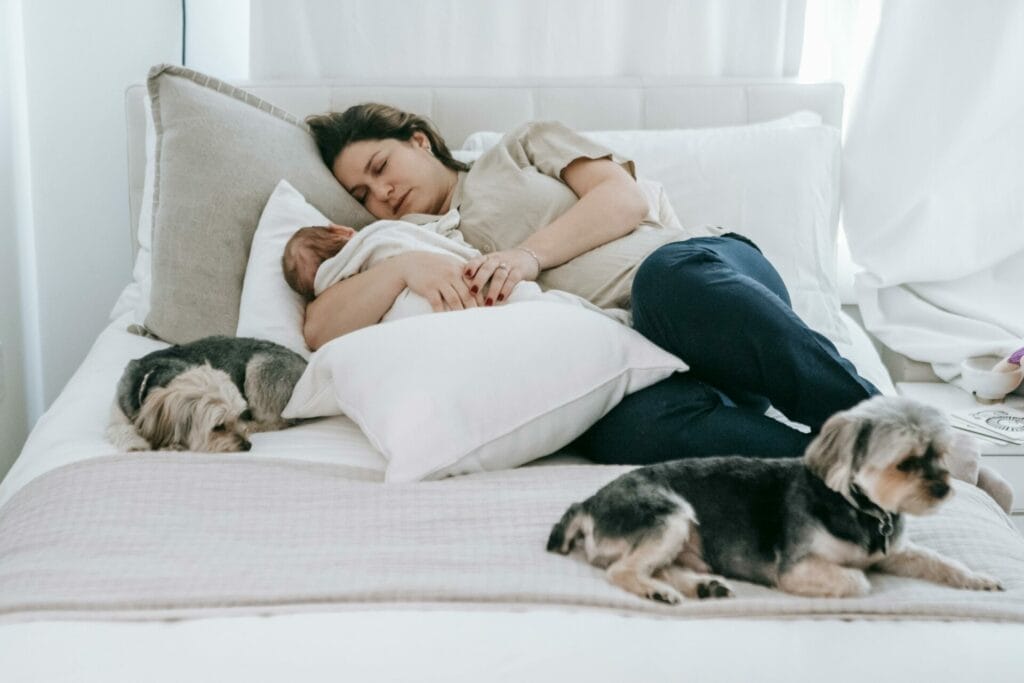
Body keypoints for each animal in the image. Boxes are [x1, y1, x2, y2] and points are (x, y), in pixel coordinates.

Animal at [109, 335, 307, 454]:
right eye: (218, 426)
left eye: (238, 415)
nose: (247, 446)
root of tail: (305, 363)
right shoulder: (117, 411)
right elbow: (120, 428)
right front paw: (136, 444)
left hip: (258, 370)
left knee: (278, 421)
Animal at [548, 395, 1003, 602]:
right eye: (906, 463)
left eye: (941, 454)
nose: (945, 488)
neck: (860, 507)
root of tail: (586, 503)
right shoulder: (796, 569)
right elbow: (858, 580)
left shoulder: (894, 551)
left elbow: (939, 561)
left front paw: (978, 578)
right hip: (668, 515)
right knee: (621, 570)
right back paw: (659, 592)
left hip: (685, 537)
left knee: (662, 566)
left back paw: (703, 586)